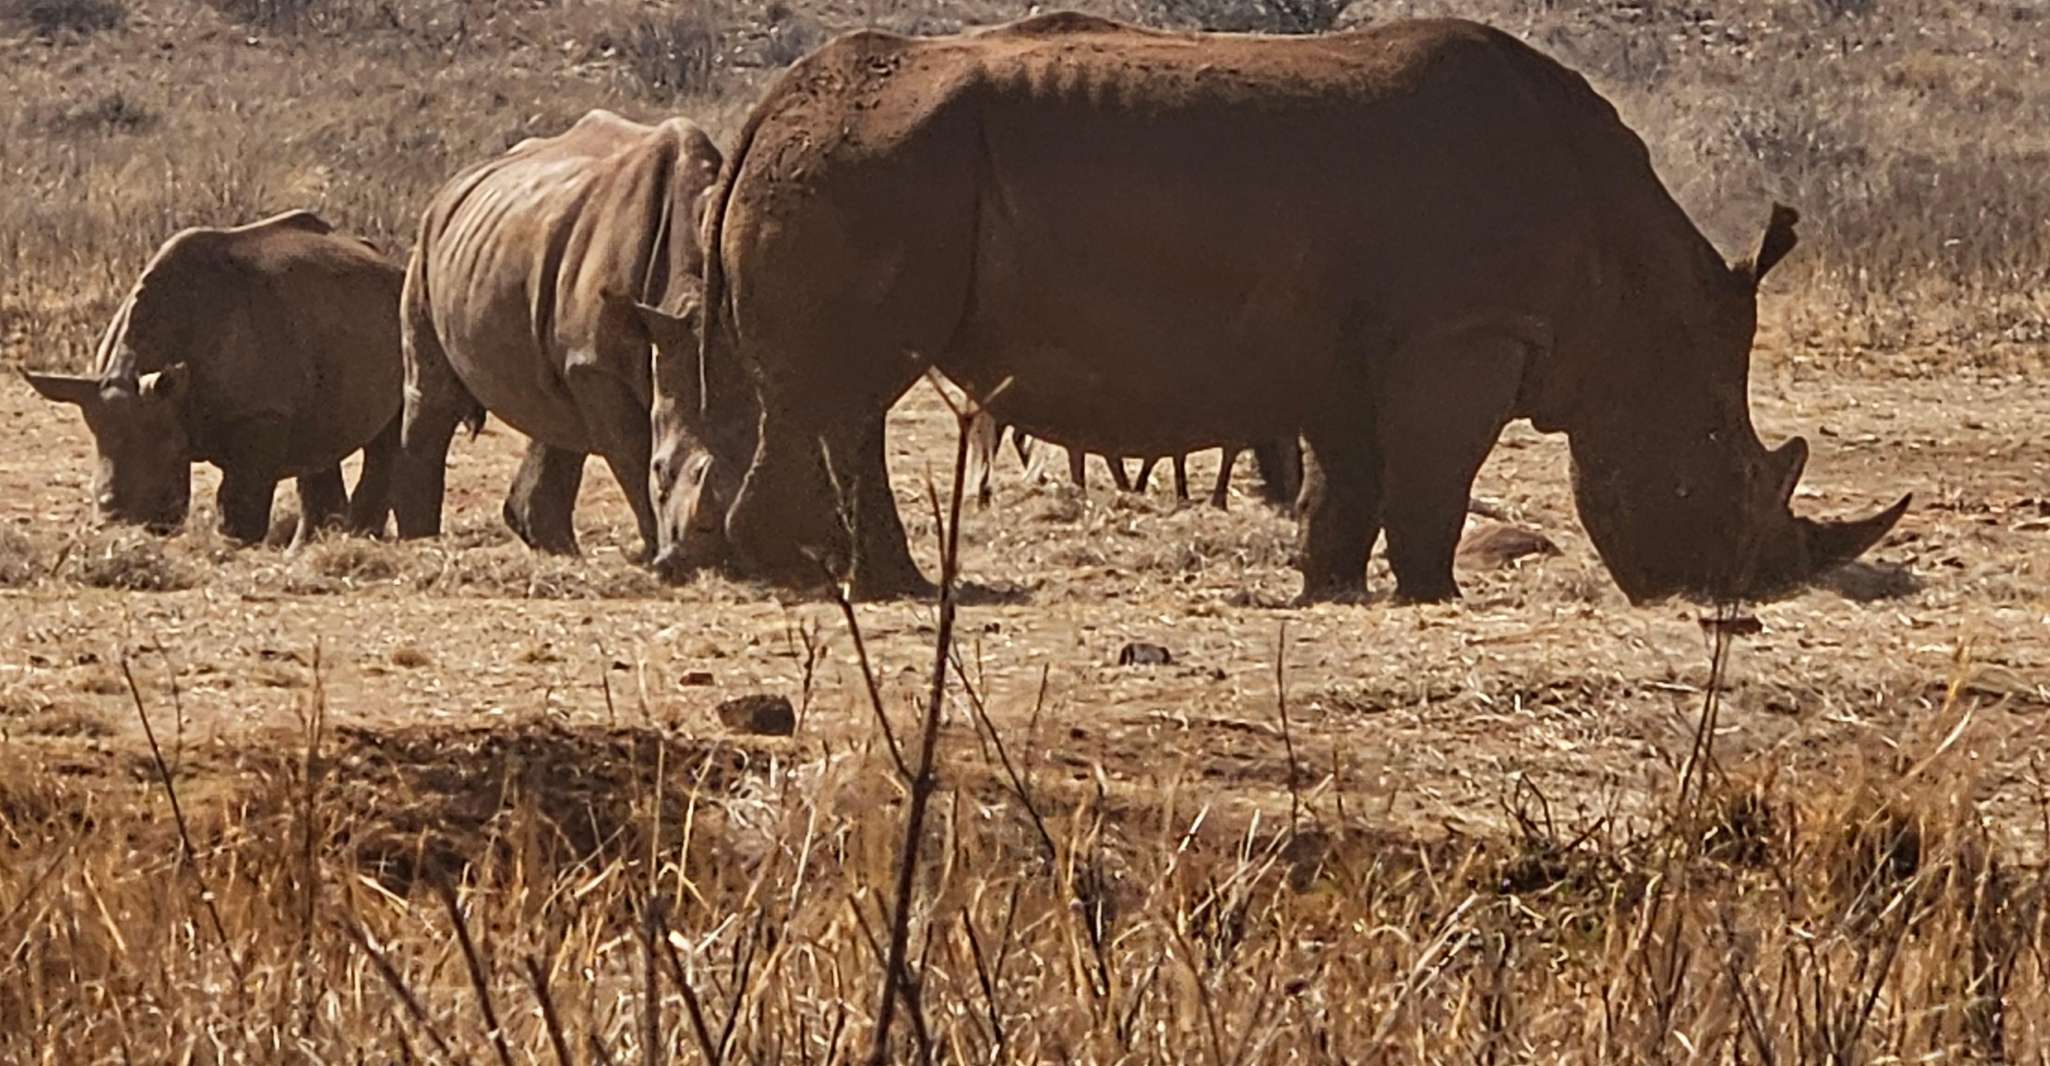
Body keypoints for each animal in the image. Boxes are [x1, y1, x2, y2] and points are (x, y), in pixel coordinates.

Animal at [22, 210, 404, 545]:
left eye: (169, 451)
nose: (114, 525)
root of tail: (390, 263)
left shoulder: (261, 411)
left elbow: (238, 493)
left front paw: (233, 543)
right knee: (321, 439)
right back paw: (308, 547)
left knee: (381, 439)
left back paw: (357, 538)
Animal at [396, 110, 722, 561]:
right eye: (662, 472)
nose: (703, 555)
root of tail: (451, 186)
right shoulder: (596, 365)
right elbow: (632, 453)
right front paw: (653, 551)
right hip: (426, 249)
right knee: (432, 396)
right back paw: (420, 543)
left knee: (553, 410)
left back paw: (559, 550)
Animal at [643, 14, 1907, 603]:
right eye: (1730, 474)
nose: (1750, 584)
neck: (1640, 304)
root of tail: (767, 110)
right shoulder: (1465, 331)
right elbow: (1434, 474)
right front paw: (1435, 592)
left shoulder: (1362, 346)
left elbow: (1353, 475)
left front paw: (1330, 585)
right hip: (865, 165)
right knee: (837, 391)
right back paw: (817, 579)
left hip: (859, 162)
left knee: (845, 400)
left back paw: (884, 585)